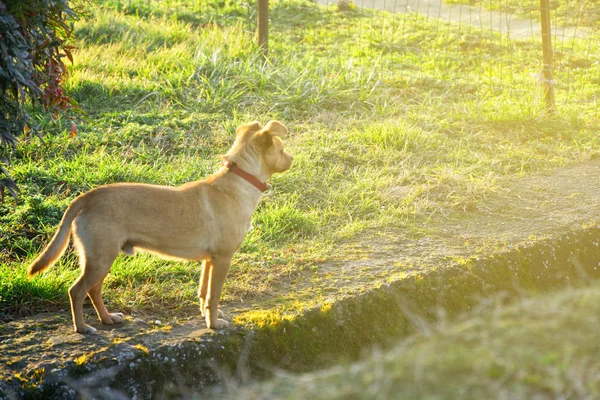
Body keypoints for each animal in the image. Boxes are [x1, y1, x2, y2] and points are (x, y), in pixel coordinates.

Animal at [27, 120, 294, 332]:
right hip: (101, 258)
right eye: (282, 149)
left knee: (93, 290)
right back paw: (82, 328)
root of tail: (87, 197)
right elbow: (214, 295)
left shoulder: (210, 261)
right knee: (77, 291)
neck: (238, 182)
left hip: (99, 258)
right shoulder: (223, 259)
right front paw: (214, 324)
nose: (292, 158)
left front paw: (206, 316)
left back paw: (107, 319)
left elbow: (203, 292)